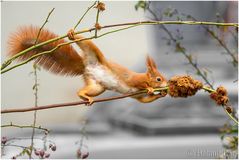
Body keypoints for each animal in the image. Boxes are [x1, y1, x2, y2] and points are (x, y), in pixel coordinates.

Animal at [7, 26, 168, 105]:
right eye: (159, 79)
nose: (167, 84)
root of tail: (86, 67)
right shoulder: (134, 80)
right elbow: (137, 82)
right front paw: (150, 88)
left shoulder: (138, 96)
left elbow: (144, 101)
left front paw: (162, 94)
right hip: (93, 51)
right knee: (85, 42)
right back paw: (72, 35)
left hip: (97, 87)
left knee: (84, 90)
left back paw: (84, 97)